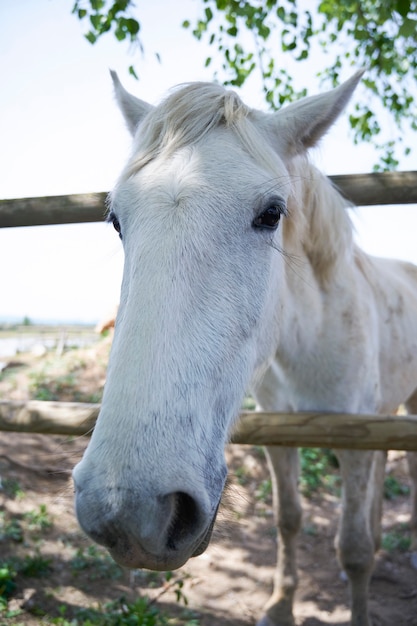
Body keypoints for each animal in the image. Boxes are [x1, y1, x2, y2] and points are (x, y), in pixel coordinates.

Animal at [73, 70, 416, 624]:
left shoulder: (353, 439)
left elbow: (354, 549)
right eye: (118, 220)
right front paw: (280, 605)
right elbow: (289, 519)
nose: (128, 512)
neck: (311, 342)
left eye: (272, 214)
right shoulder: (282, 436)